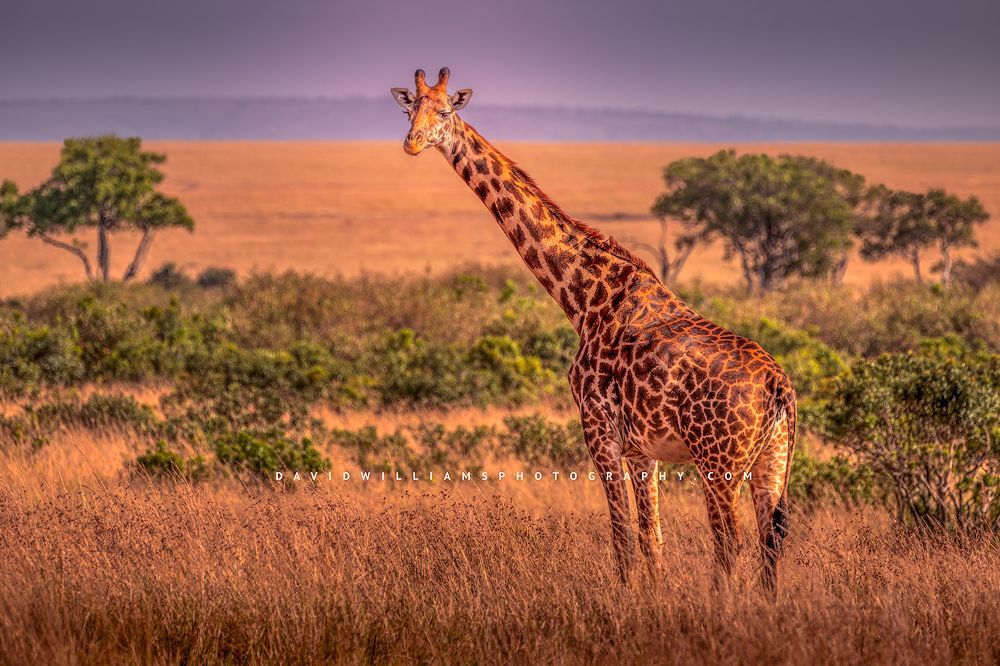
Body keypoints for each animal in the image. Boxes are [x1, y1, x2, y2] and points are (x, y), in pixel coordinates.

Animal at [391, 68, 797, 593]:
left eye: (444, 111)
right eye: (409, 110)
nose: (412, 142)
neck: (582, 297)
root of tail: (778, 386)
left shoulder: (598, 430)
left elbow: (622, 537)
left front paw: (626, 599)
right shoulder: (642, 448)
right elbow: (651, 539)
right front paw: (655, 597)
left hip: (719, 462)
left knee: (731, 543)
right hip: (773, 459)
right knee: (770, 544)